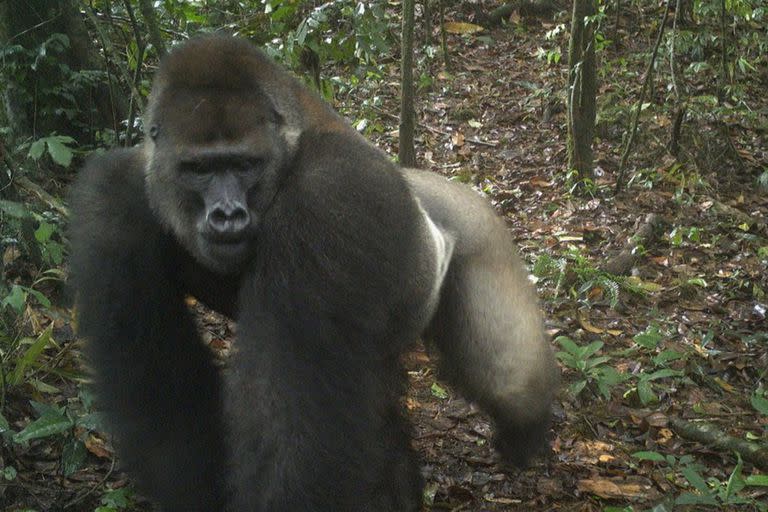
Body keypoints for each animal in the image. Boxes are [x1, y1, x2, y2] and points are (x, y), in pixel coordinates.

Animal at [69, 34, 556, 510]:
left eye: (244, 165)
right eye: (198, 169)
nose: (227, 215)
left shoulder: (330, 198)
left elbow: (298, 432)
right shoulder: (112, 198)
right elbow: (158, 389)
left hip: (479, 228)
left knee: (506, 379)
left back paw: (526, 428)